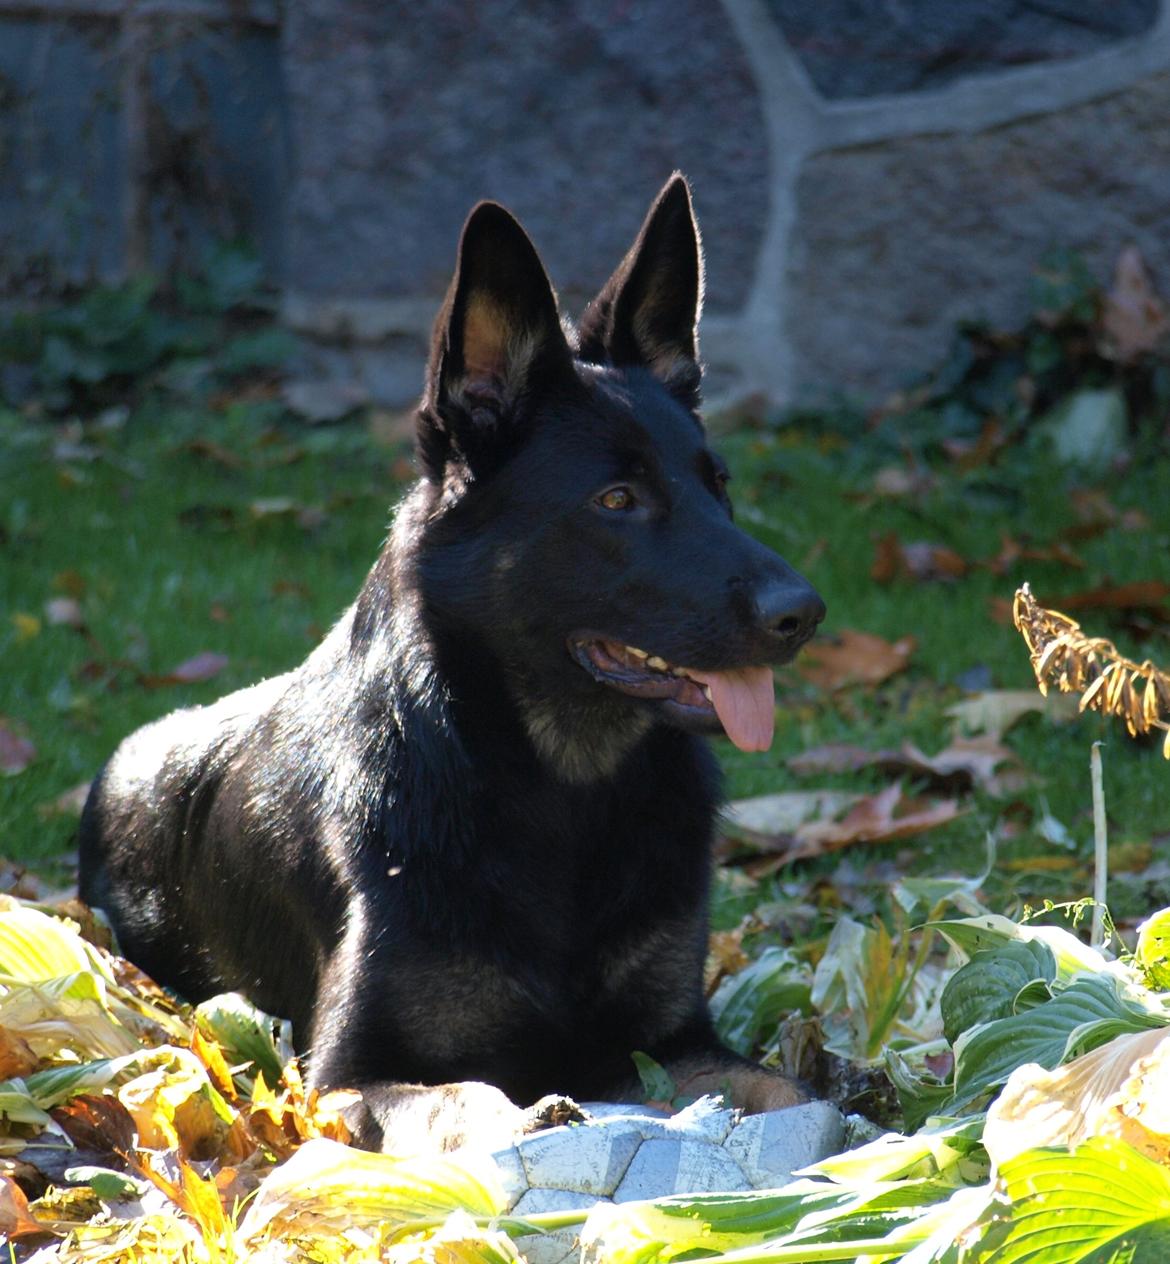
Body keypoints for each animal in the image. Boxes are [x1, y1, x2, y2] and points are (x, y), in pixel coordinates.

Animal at [80, 175, 823, 1157]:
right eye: (617, 499)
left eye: (719, 485)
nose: (803, 613)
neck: (558, 793)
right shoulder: (347, 1076)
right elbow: (461, 1096)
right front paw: (529, 1114)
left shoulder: (676, 1042)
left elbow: (786, 1087)